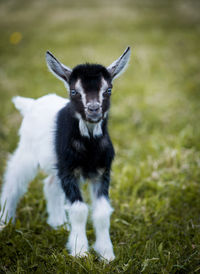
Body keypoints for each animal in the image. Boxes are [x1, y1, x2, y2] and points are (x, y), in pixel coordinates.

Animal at [0, 47, 130, 262]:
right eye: (74, 91)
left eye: (108, 90)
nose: (93, 109)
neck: (89, 144)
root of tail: (31, 104)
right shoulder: (70, 171)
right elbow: (79, 210)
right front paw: (80, 252)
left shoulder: (101, 172)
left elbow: (102, 212)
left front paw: (106, 254)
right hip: (27, 151)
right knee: (13, 181)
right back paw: (4, 221)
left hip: (56, 164)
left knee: (50, 185)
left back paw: (58, 223)